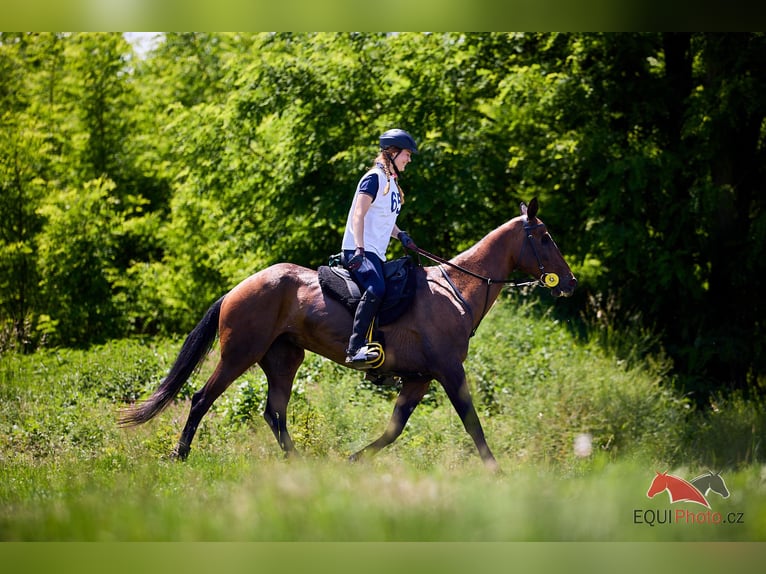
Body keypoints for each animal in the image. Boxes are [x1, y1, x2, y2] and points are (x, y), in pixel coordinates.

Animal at [120, 196, 576, 470]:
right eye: (545, 237)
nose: (569, 283)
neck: (456, 290)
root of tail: (237, 288)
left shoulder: (419, 379)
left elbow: (393, 430)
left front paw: (353, 461)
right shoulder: (449, 372)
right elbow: (472, 423)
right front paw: (495, 472)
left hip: (284, 359)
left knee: (273, 411)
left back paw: (299, 463)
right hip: (239, 354)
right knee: (201, 398)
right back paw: (180, 455)